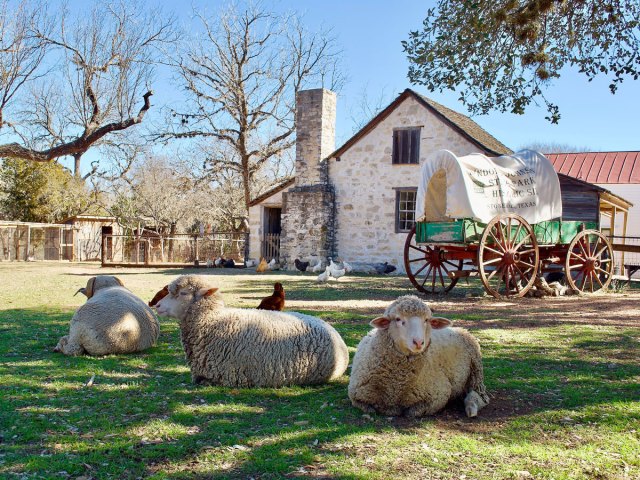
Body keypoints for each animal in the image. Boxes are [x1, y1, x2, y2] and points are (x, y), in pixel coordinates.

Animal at [348, 294, 488, 418]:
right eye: (398, 319)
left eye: (426, 320)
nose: (419, 342)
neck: (395, 387)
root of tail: (459, 329)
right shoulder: (356, 395)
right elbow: (369, 409)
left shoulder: (438, 395)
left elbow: (411, 413)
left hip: (476, 370)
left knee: (479, 395)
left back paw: (471, 407)